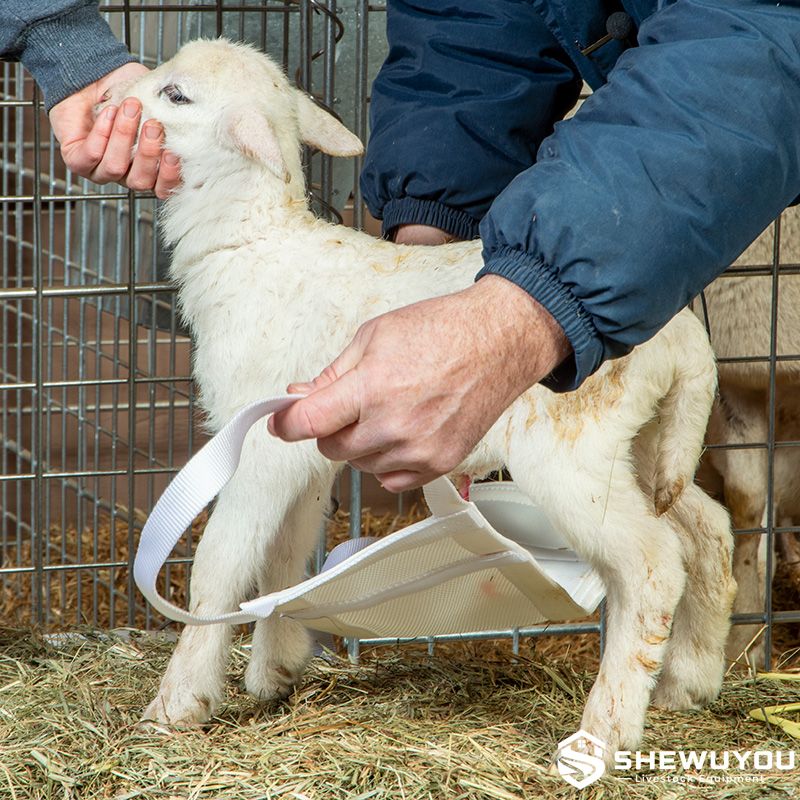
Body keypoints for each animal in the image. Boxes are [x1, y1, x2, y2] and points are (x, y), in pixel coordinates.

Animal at [112, 39, 736, 763]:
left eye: (176, 95)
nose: (111, 98)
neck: (251, 243)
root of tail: (685, 346)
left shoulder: (258, 441)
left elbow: (220, 567)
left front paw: (179, 700)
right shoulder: (303, 447)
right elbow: (285, 556)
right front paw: (277, 666)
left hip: (572, 453)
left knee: (653, 563)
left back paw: (605, 732)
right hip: (645, 442)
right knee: (707, 528)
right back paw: (691, 679)